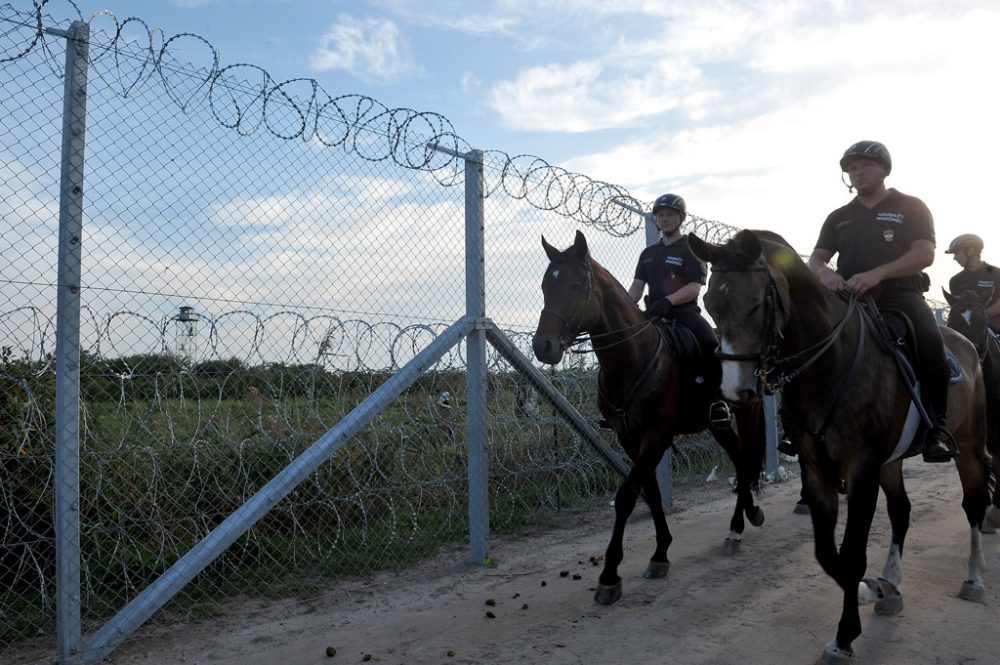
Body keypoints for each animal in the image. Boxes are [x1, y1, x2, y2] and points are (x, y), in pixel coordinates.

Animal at [532, 231, 764, 604]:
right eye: (544, 286)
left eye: (575, 286)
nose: (543, 346)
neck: (631, 357)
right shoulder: (630, 438)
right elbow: (651, 492)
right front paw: (660, 553)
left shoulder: (656, 436)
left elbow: (628, 494)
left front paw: (610, 575)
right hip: (717, 425)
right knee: (740, 460)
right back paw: (746, 518)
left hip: (745, 411)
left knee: (745, 459)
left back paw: (738, 527)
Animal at [692, 230, 988, 664]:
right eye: (710, 304)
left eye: (756, 303)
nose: (735, 391)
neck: (829, 362)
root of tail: (968, 346)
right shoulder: (818, 471)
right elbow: (828, 555)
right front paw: (869, 589)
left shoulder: (861, 470)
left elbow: (851, 555)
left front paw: (845, 635)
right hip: (891, 463)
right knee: (902, 511)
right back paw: (891, 584)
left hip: (967, 445)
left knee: (974, 504)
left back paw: (974, 578)